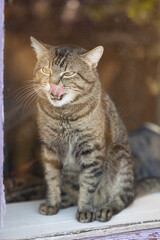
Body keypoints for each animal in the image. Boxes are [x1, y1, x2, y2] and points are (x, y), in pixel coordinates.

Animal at [30, 36, 160, 222]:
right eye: (45, 70)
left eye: (68, 74)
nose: (52, 83)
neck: (64, 115)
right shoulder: (50, 149)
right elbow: (52, 179)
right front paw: (52, 203)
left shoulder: (92, 150)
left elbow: (88, 184)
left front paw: (85, 210)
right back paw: (65, 200)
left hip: (121, 161)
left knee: (124, 198)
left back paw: (105, 208)